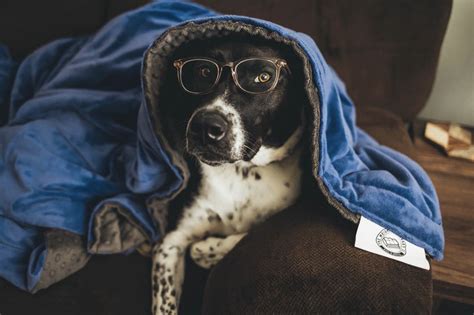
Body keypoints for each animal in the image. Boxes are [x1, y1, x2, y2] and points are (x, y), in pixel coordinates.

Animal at [153, 35, 308, 314]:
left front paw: (206, 249)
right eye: (203, 70)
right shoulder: (170, 242)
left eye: (263, 77)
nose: (205, 126)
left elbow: (247, 235)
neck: (242, 172)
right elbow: (164, 302)